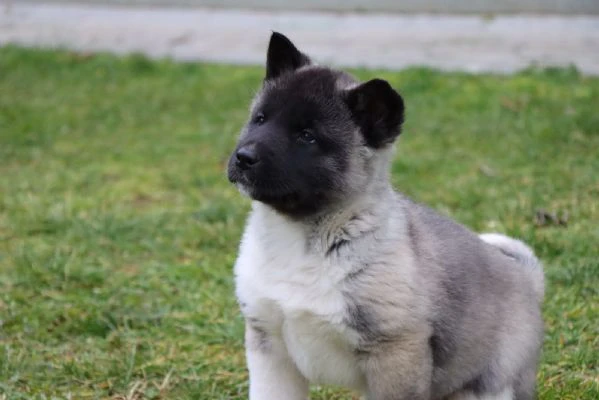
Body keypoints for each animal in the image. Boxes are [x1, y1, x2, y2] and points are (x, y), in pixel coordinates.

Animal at [227, 32, 548, 400]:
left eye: (306, 136)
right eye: (260, 119)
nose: (243, 157)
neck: (306, 239)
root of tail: (528, 279)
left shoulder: (394, 354)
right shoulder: (270, 347)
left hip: (492, 386)